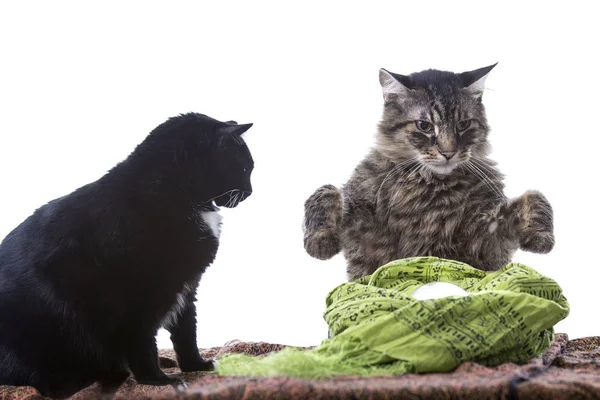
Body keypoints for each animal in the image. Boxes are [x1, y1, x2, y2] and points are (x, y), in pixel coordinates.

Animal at [0, 111, 255, 396]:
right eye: (245, 168)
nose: (249, 192)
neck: (175, 193)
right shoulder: (136, 295)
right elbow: (142, 342)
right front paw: (159, 381)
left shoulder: (187, 285)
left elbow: (186, 331)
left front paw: (195, 365)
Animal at [302, 64, 556, 280]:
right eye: (424, 126)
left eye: (463, 125)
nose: (448, 152)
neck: (430, 187)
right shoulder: (360, 218)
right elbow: (326, 192)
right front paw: (320, 242)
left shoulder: (486, 236)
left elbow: (535, 197)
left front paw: (541, 237)